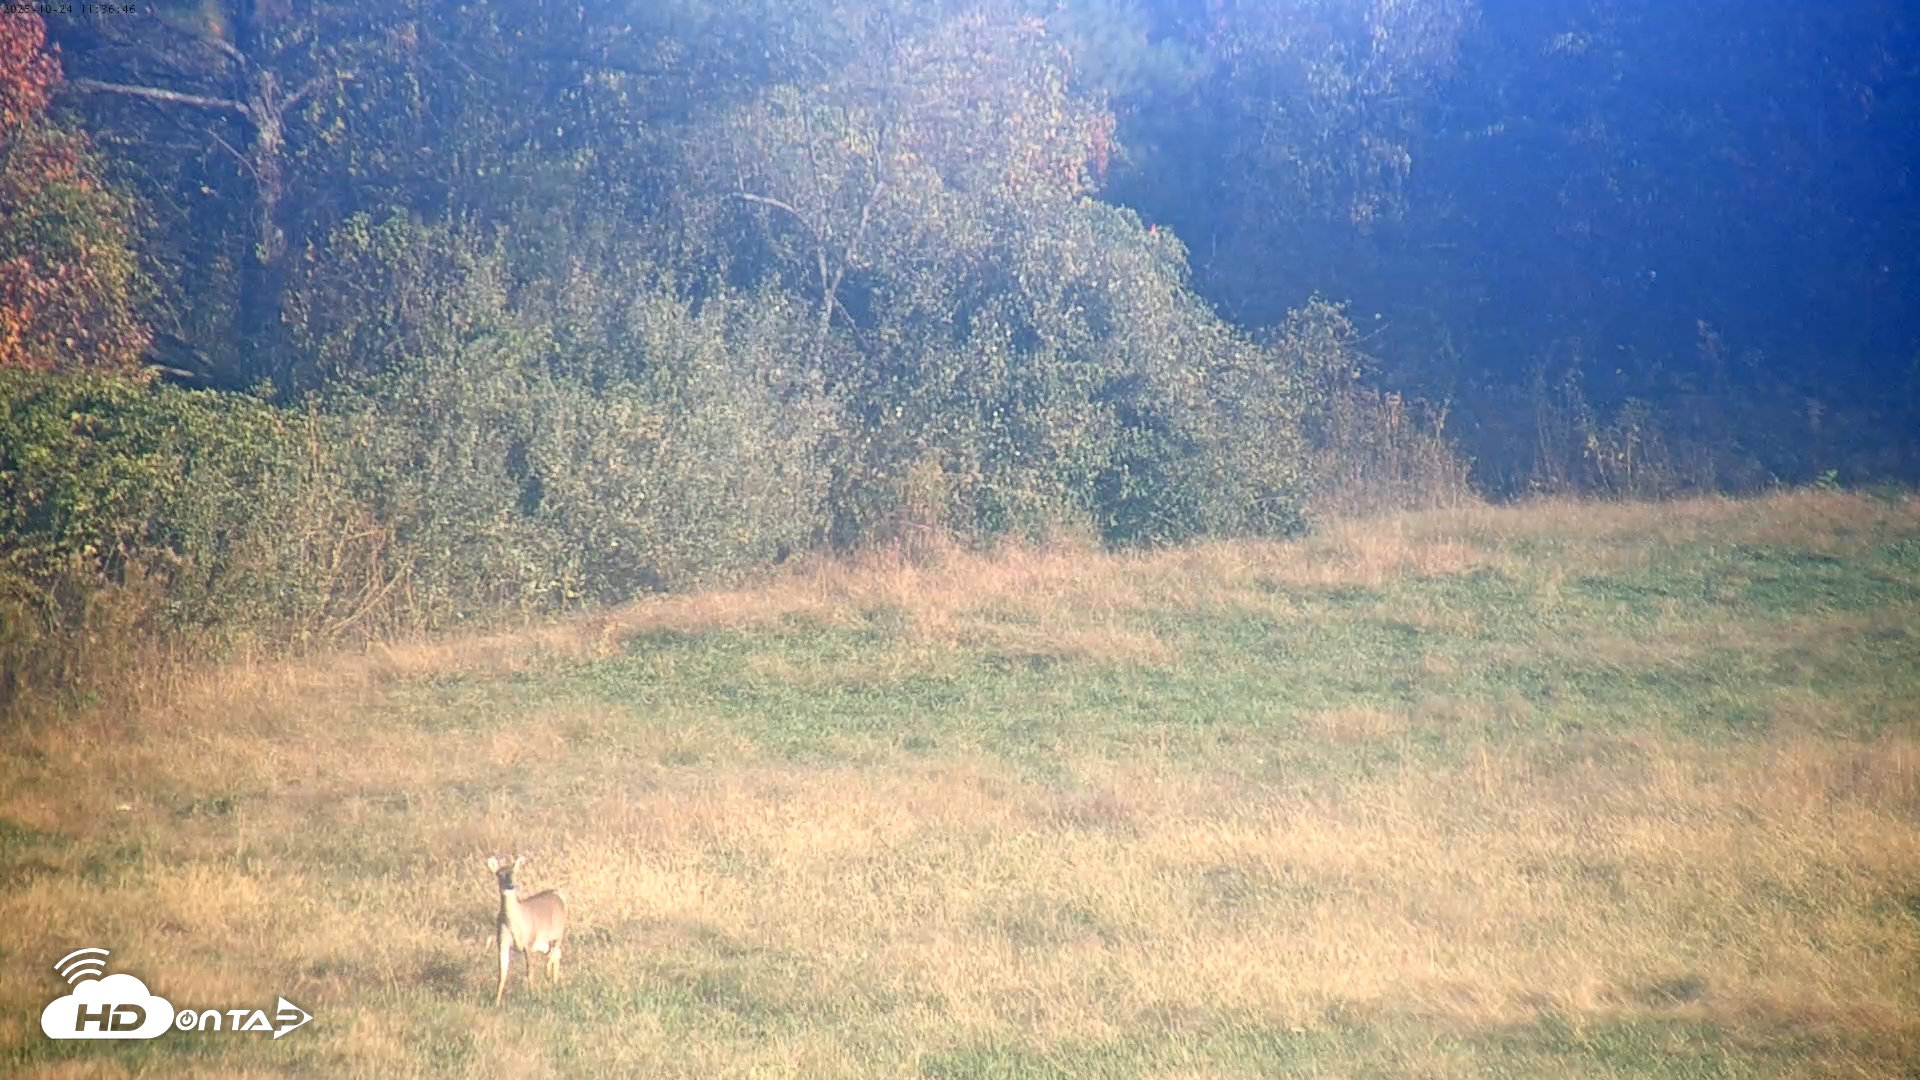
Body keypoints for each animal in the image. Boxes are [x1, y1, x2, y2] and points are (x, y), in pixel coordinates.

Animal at [486, 854, 568, 1005]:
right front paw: (496, 1001)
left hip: (558, 933)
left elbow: (529, 971)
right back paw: (554, 983)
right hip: (544, 943)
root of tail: (558, 894)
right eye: (500, 875)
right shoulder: (502, 943)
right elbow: (502, 973)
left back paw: (548, 974)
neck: (513, 923)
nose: (511, 885)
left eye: (514, 873)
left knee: (555, 953)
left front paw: (533, 996)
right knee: (556, 954)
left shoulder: (528, 943)